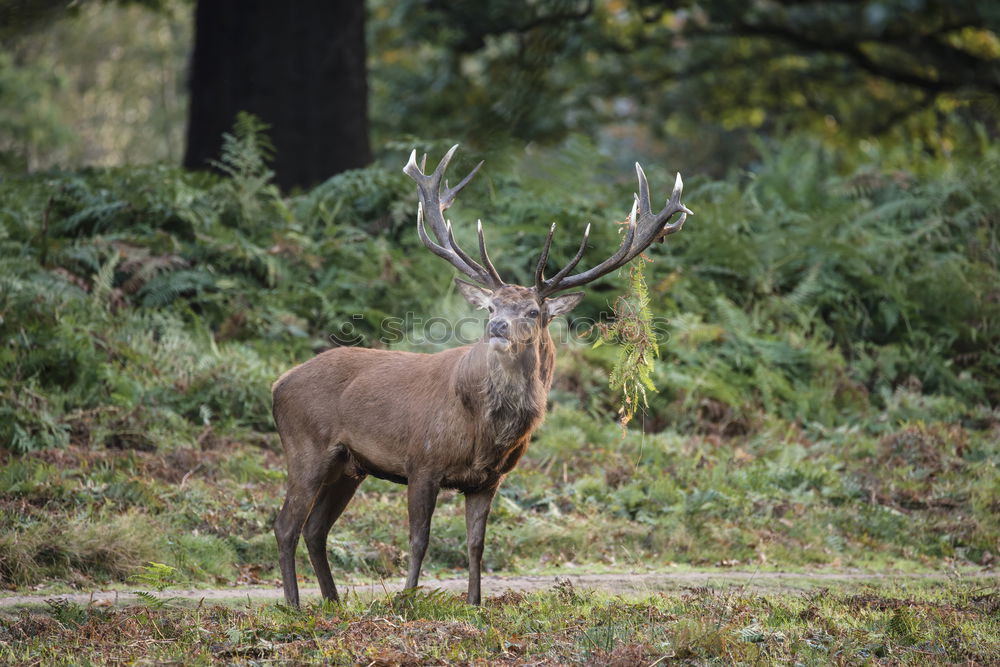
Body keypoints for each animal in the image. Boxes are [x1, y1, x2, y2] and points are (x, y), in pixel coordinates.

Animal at [274, 146, 696, 604]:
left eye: (532, 311)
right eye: (492, 306)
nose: (497, 327)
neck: (486, 430)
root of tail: (278, 385)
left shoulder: (488, 480)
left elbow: (476, 543)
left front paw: (475, 603)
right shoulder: (422, 461)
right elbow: (419, 539)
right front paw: (408, 598)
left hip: (349, 466)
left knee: (316, 529)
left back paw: (332, 603)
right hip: (306, 447)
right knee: (286, 525)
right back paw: (295, 605)